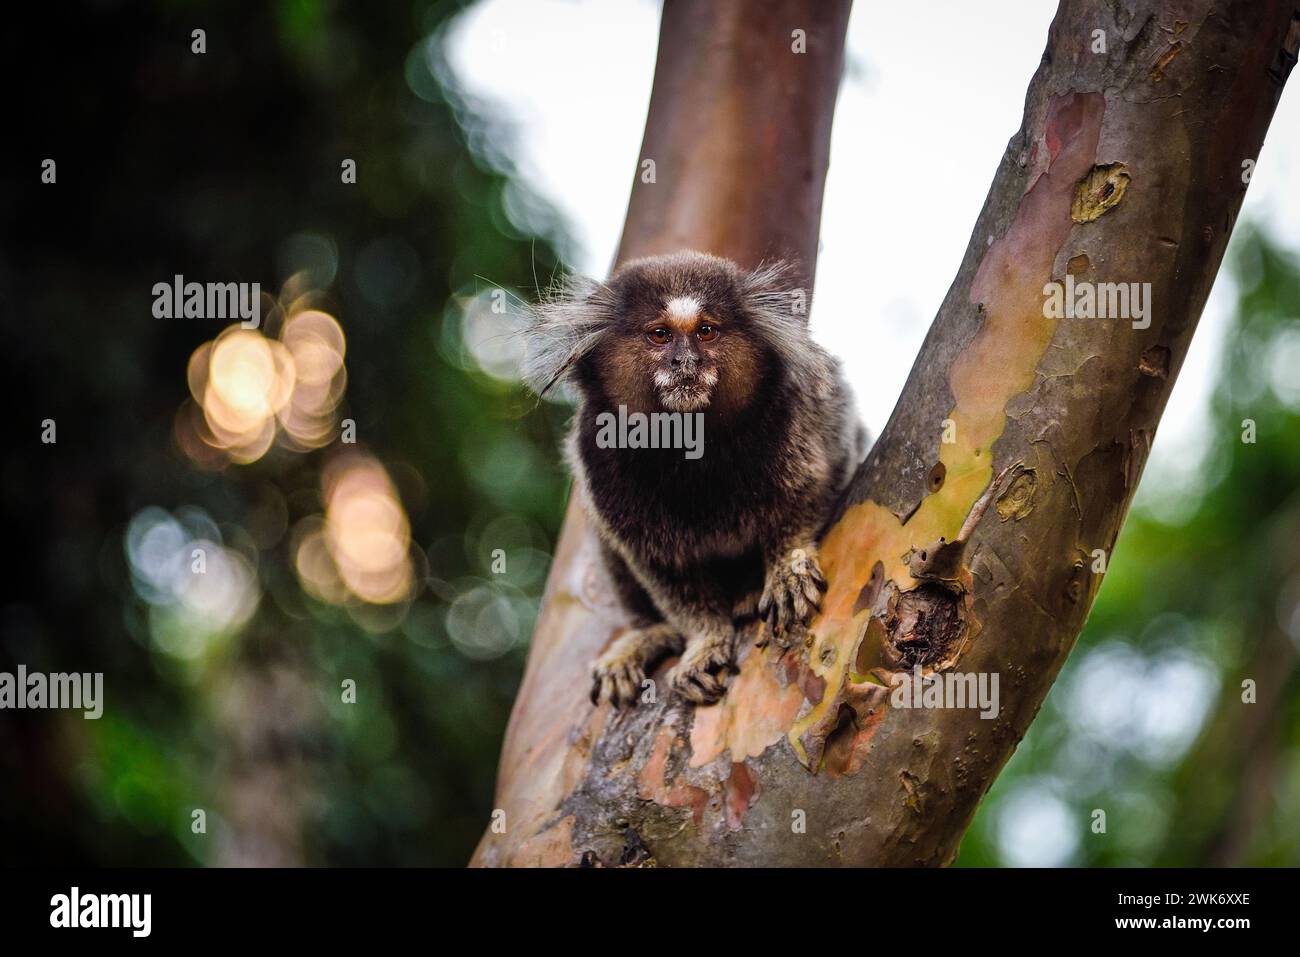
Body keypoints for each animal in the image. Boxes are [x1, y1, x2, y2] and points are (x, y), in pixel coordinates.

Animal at [522, 250, 868, 707]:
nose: (685, 362)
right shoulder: (596, 455)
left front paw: (786, 568)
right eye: (659, 335)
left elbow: (814, 484)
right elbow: (662, 567)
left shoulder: (800, 411)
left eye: (706, 332)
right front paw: (705, 641)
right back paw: (648, 636)